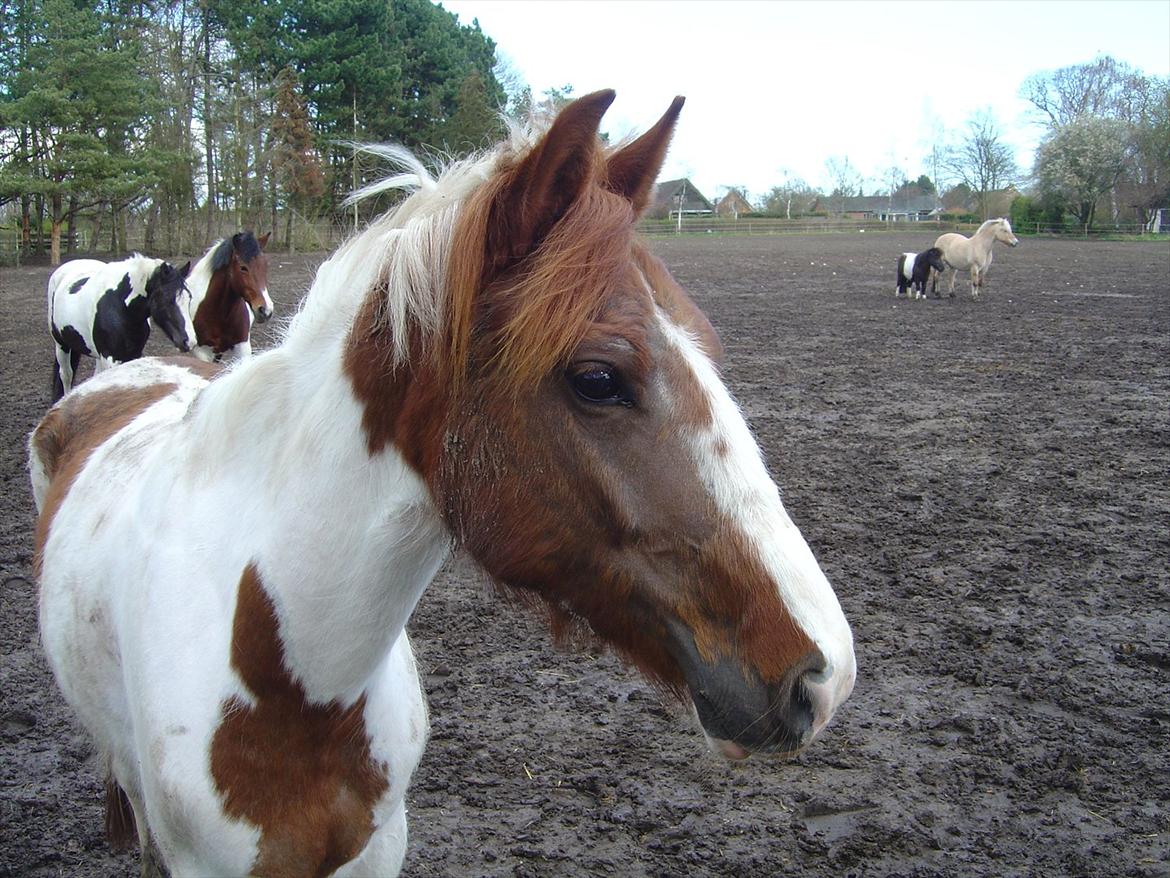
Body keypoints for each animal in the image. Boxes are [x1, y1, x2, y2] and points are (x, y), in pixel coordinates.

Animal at [46, 256, 194, 405]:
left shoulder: (133, 355)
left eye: (189, 298)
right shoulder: (110, 358)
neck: (120, 307)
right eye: (168, 299)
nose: (189, 341)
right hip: (61, 345)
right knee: (66, 375)